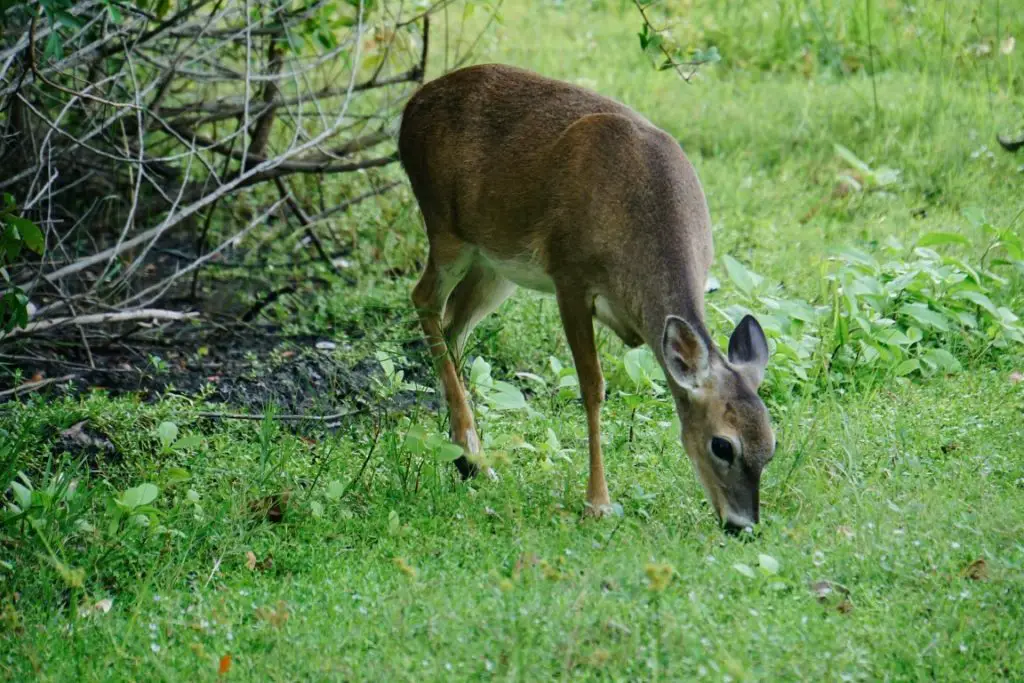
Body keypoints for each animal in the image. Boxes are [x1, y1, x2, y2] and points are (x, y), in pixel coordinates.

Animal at [395, 63, 770, 532]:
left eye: (771, 446)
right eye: (723, 445)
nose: (742, 525)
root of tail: (411, 107)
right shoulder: (569, 276)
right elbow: (592, 386)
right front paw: (598, 502)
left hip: (496, 264)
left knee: (454, 325)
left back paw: (468, 456)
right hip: (446, 228)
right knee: (424, 298)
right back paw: (470, 453)